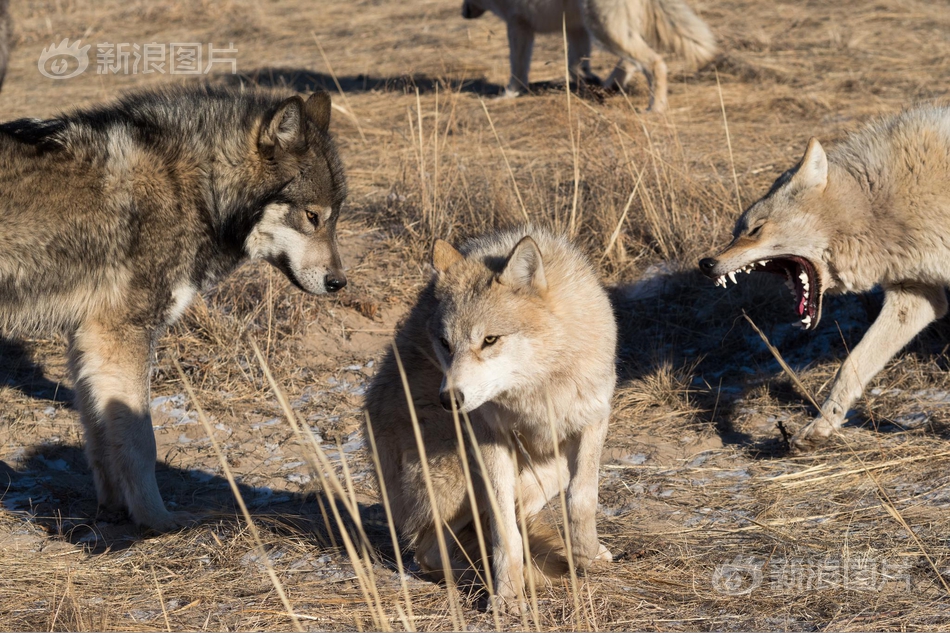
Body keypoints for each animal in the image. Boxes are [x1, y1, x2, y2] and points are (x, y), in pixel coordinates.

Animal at [0, 84, 350, 528]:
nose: (339, 283)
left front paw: (114, 508)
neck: (197, 190)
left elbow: (99, 434)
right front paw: (156, 521)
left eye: (335, 219)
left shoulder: (88, 339)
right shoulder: (123, 334)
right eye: (312, 216)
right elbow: (141, 440)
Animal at [460, 0, 712, 110]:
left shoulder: (518, 26)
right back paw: (610, 85)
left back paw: (654, 109)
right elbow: (575, 66)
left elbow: (517, 69)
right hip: (608, 29)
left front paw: (507, 95)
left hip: (604, 28)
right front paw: (589, 82)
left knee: (654, 62)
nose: (463, 13)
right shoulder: (576, 28)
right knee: (634, 61)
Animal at [700, 105, 950, 450]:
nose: (706, 263)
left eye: (755, 229)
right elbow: (850, 366)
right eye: (737, 232)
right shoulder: (914, 297)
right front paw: (822, 426)